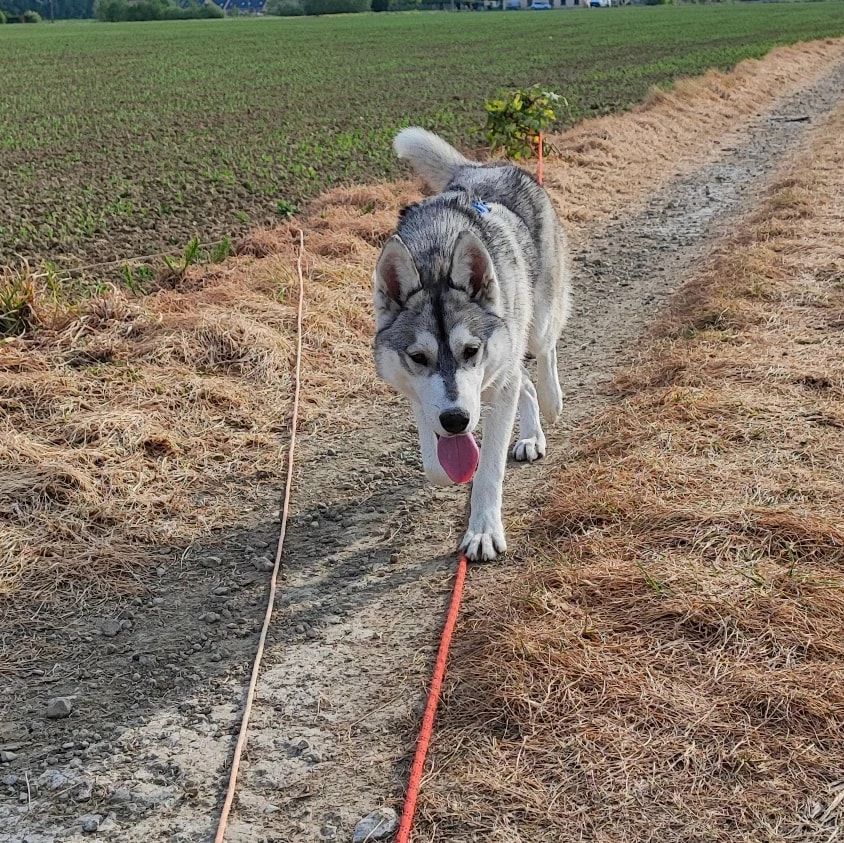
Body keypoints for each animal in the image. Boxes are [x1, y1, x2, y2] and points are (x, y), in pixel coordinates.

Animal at [372, 127, 572, 560]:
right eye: (418, 357)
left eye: (470, 351)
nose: (456, 420)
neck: (436, 252)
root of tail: (481, 168)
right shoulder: (423, 397)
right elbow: (436, 464)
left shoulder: (493, 377)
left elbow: (488, 471)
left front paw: (482, 531)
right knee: (521, 380)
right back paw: (530, 434)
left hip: (535, 321)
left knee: (543, 354)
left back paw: (550, 403)